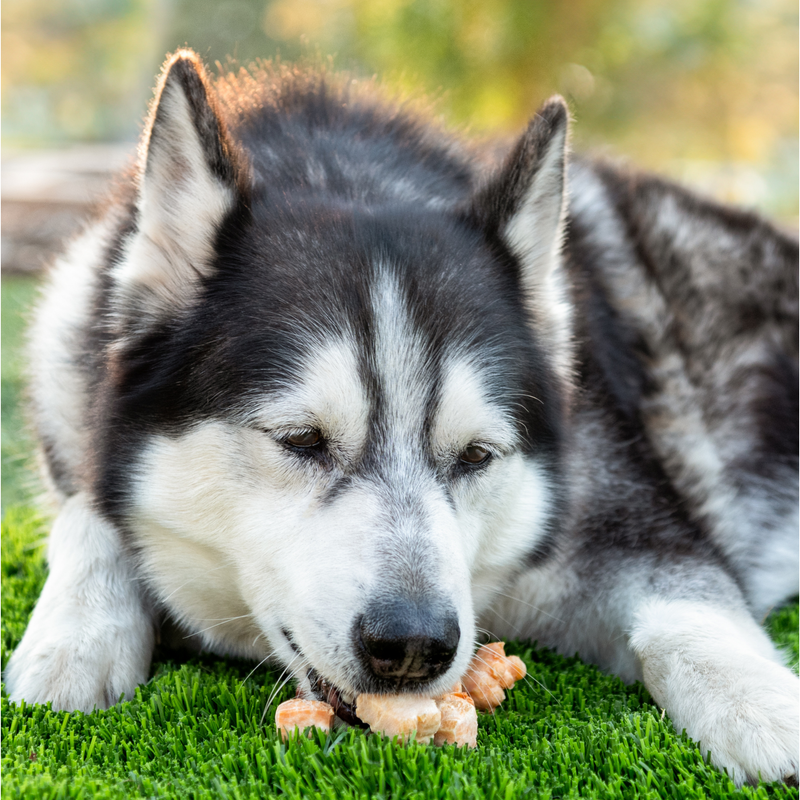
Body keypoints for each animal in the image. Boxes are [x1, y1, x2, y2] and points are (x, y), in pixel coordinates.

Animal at [6, 48, 800, 780]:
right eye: (301, 439)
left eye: (477, 456)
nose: (413, 645)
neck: (341, 169)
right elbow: (87, 509)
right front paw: (76, 637)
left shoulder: (633, 528)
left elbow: (692, 617)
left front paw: (769, 713)